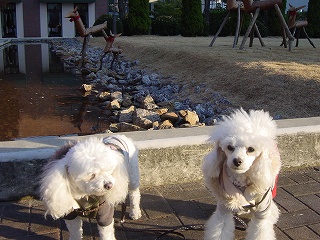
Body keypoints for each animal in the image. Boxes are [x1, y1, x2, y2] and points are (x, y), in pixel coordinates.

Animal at [202, 109, 280, 240]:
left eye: (251, 149)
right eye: (229, 147)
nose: (237, 161)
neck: (241, 180)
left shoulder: (262, 212)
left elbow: (260, 230)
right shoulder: (224, 207)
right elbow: (220, 230)